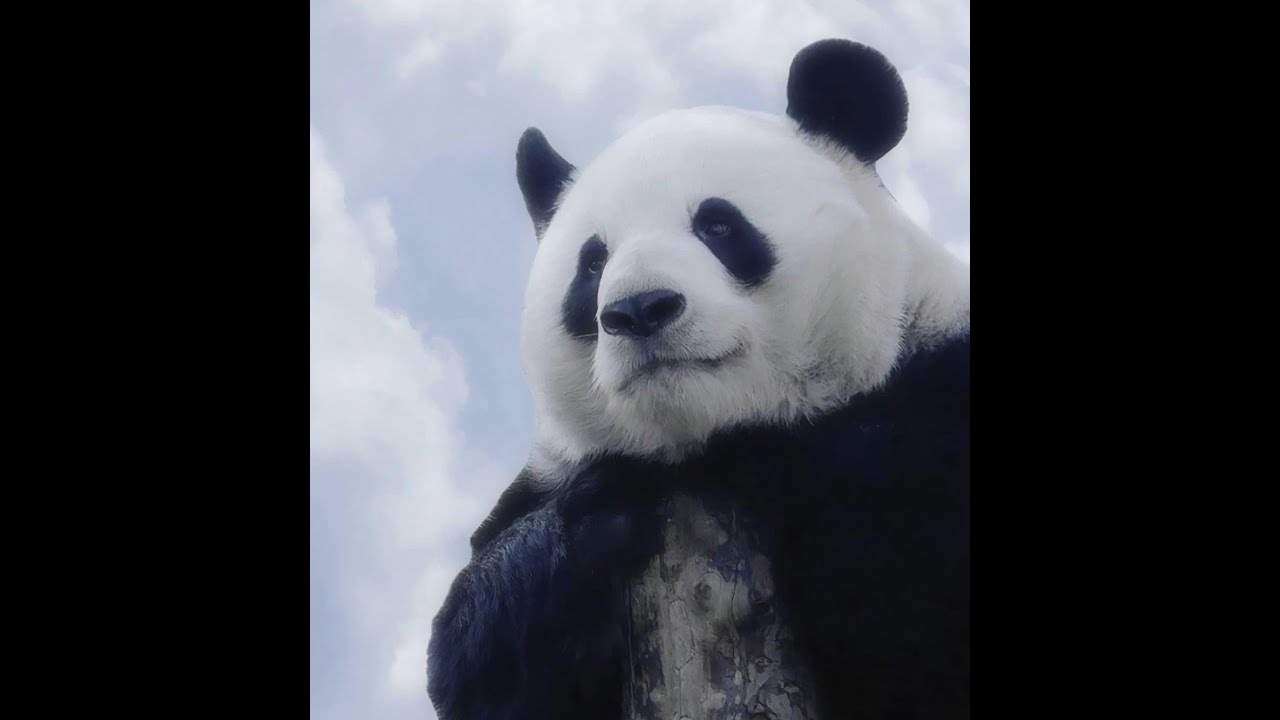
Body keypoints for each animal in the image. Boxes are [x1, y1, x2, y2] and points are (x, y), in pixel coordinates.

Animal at [427, 38, 970, 720]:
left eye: (718, 226)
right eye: (593, 261)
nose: (639, 309)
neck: (698, 441)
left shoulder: (931, 395)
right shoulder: (548, 482)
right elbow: (477, 654)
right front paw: (600, 517)